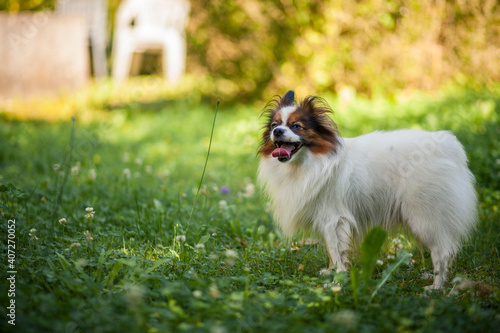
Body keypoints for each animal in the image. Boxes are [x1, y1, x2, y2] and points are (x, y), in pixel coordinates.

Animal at [258, 89, 476, 286]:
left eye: (296, 126)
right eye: (274, 125)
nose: (277, 131)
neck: (308, 164)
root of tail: (449, 146)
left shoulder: (334, 219)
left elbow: (337, 251)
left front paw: (336, 281)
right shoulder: (326, 219)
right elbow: (331, 251)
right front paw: (329, 272)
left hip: (424, 217)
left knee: (442, 252)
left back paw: (435, 288)